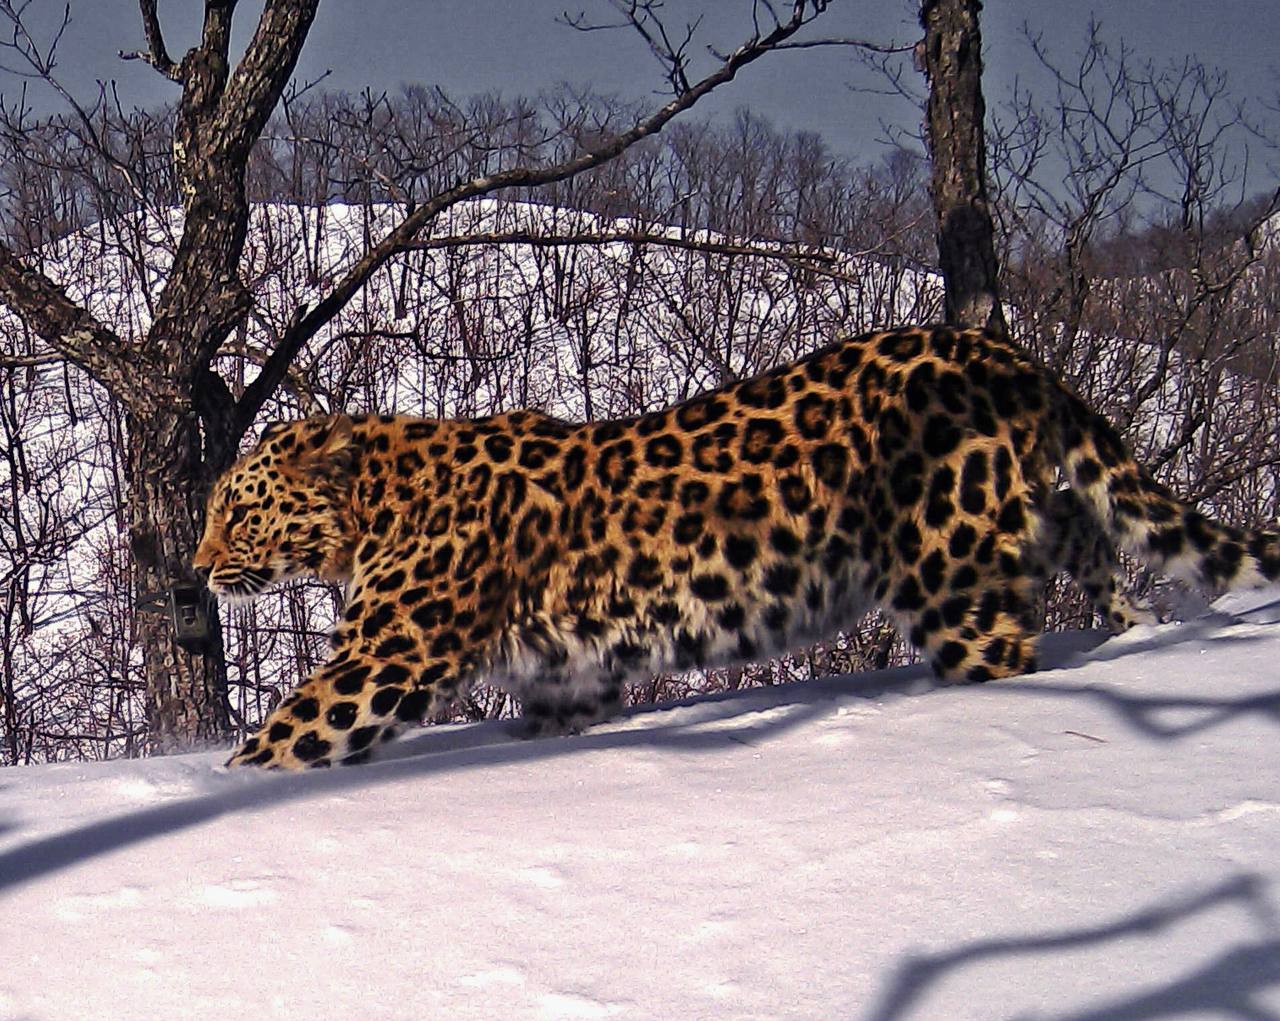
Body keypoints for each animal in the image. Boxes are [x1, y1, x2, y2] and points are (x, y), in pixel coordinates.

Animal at [194, 326, 1280, 767]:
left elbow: (284, 737)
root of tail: (1005, 352)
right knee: (1079, 522)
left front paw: (221, 793)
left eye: (238, 512)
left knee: (1006, 641)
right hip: (991, 527)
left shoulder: (384, 660)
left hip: (950, 571)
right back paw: (1124, 623)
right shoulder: (567, 674)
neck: (374, 504)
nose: (199, 568)